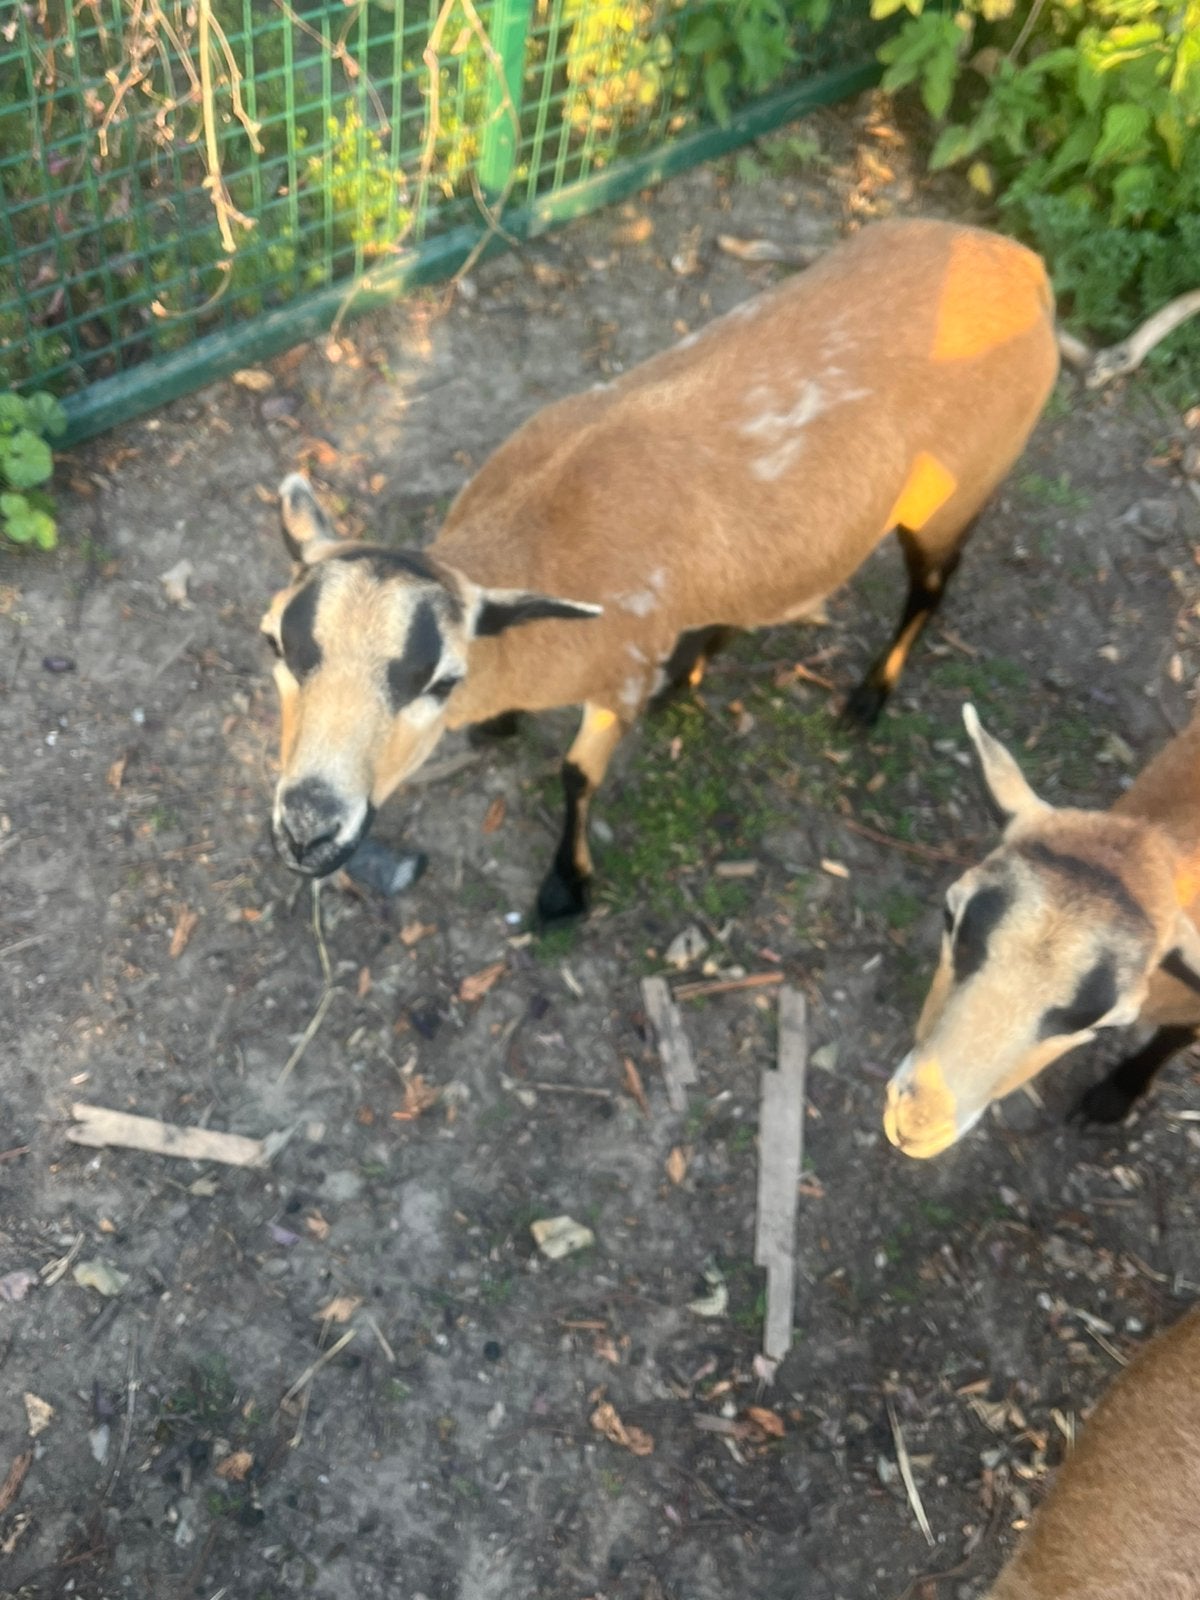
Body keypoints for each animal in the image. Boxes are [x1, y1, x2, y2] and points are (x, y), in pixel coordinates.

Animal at [260, 218, 1059, 920]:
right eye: (275, 644)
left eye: (439, 681)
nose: (307, 832)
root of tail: (1023, 265)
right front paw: (505, 729)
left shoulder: (618, 671)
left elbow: (577, 774)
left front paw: (565, 888)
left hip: (956, 490)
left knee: (931, 586)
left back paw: (866, 700)